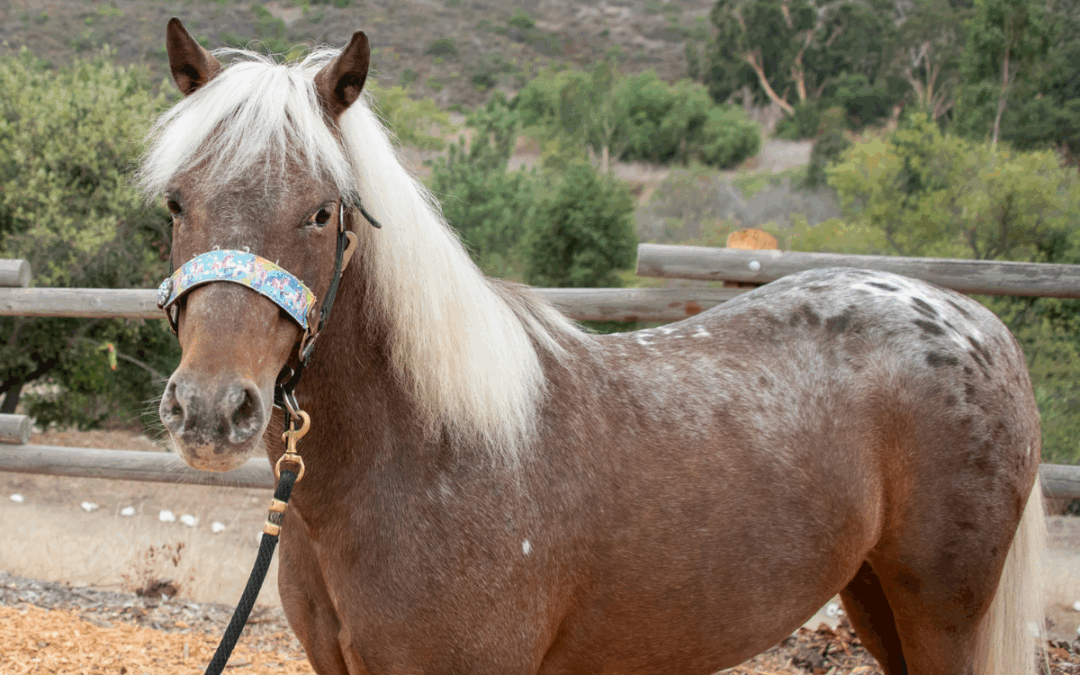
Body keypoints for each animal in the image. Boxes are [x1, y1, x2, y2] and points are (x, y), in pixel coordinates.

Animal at [145, 19, 1046, 675]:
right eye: (176, 203)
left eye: (322, 211)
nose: (210, 408)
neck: (418, 453)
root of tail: (973, 318)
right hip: (872, 594)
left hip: (941, 610)